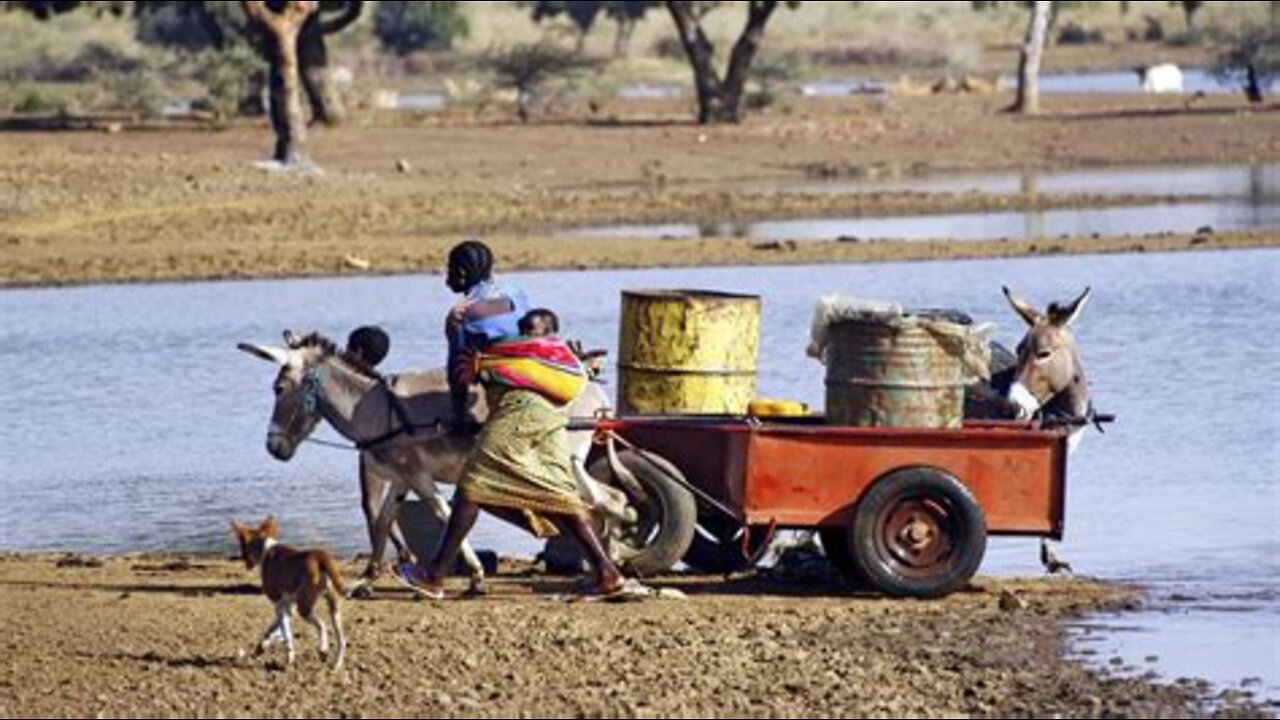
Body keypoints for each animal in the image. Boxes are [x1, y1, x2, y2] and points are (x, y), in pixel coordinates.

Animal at [231, 515, 348, 666]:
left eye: (241, 546)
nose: (244, 562)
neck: (265, 549)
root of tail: (320, 556)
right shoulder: (288, 606)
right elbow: (275, 629)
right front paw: (263, 645)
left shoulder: (279, 605)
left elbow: (285, 633)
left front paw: (288, 654)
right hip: (333, 608)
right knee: (342, 640)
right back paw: (336, 663)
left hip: (304, 607)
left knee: (322, 626)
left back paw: (323, 649)